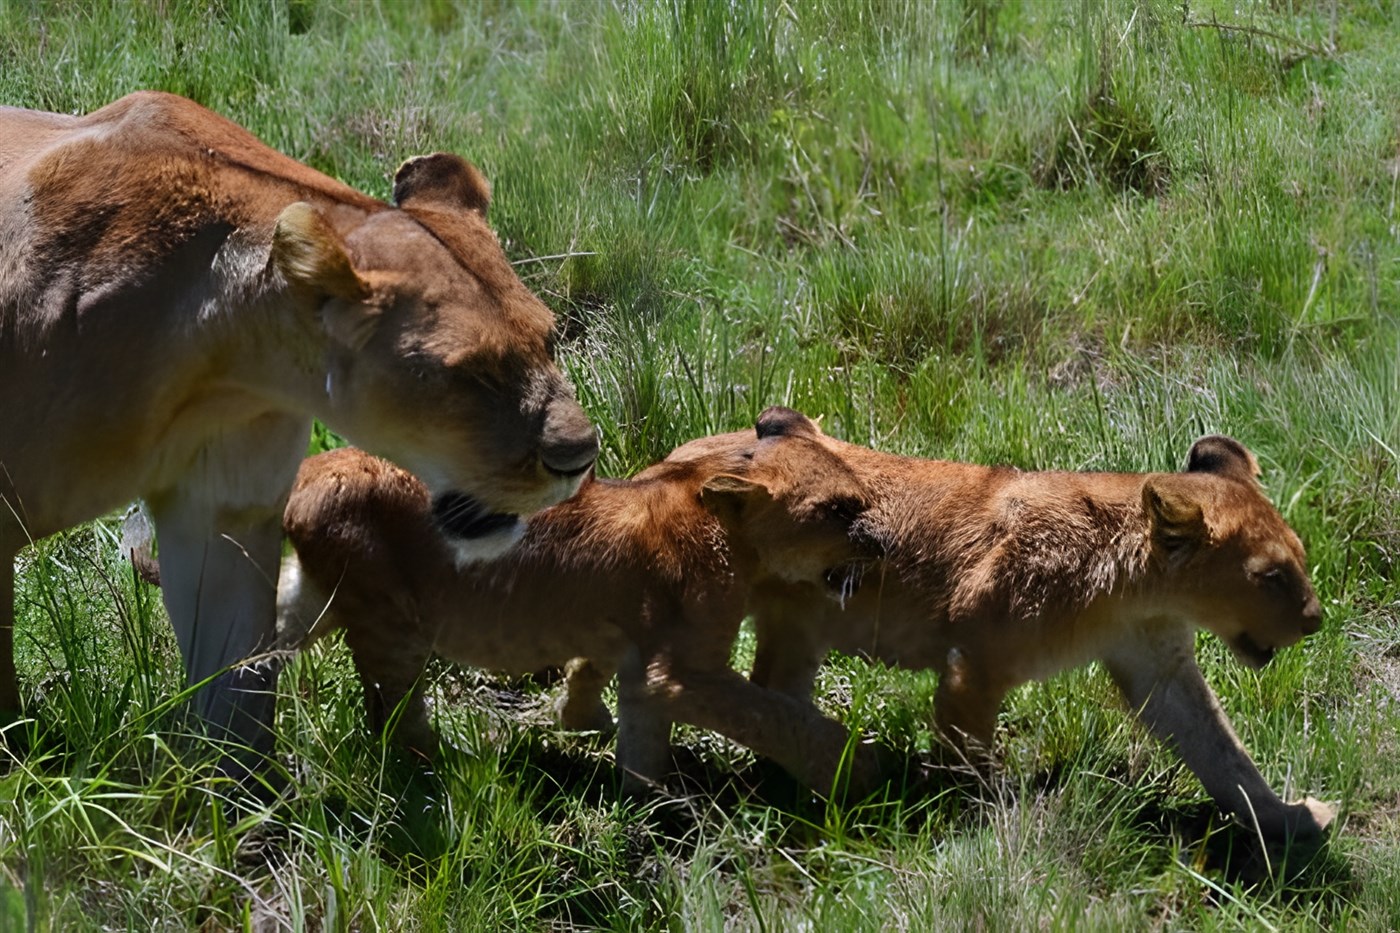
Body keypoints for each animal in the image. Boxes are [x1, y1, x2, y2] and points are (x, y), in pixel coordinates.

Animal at [0, 92, 597, 759]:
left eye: (549, 338)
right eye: (471, 372)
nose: (580, 456)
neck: (227, 364)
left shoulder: (225, 515)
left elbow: (235, 699)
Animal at [276, 408, 884, 792]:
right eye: (840, 509)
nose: (882, 542)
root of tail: (307, 475)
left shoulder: (642, 655)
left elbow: (627, 710)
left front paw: (625, 771)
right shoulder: (683, 671)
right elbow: (774, 713)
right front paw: (853, 768)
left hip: (313, 596)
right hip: (393, 622)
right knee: (394, 711)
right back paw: (446, 764)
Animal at [667, 421, 1334, 840]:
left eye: (1301, 558)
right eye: (1271, 576)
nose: (1316, 620)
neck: (1134, 593)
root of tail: (676, 456)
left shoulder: (1160, 669)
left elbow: (1222, 752)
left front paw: (1286, 821)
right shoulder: (974, 665)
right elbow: (970, 766)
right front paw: (983, 827)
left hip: (797, 630)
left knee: (773, 690)